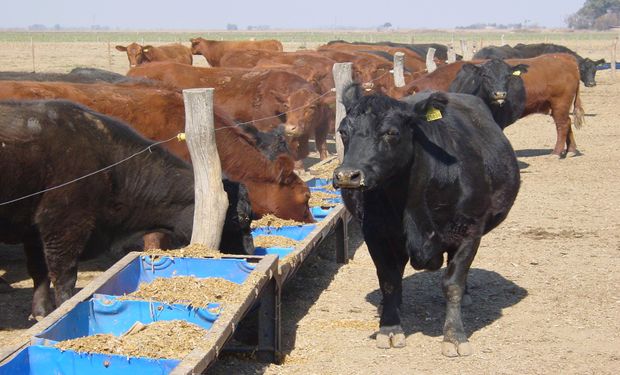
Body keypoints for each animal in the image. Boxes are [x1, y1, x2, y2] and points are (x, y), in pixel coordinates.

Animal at [0, 98, 253, 318]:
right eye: (238, 218)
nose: (250, 254)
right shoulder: (64, 226)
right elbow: (63, 277)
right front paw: (64, 309)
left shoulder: (33, 231)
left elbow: (38, 271)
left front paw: (41, 312)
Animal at [332, 86, 520, 358]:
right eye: (343, 131)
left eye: (391, 132)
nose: (347, 175)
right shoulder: (376, 233)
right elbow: (388, 280)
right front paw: (390, 328)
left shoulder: (469, 232)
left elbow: (452, 283)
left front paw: (455, 336)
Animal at [400, 53, 584, 156]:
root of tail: (565, 58)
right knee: (567, 123)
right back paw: (571, 150)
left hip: (560, 103)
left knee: (562, 124)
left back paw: (556, 152)